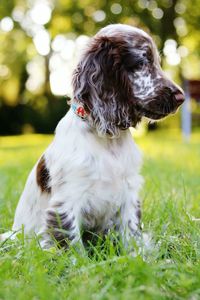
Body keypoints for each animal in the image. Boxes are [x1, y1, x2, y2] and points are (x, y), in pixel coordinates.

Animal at [0, 23, 184, 250]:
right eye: (142, 62)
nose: (181, 97)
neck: (108, 139)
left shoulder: (129, 193)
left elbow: (132, 235)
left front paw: (138, 255)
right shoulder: (67, 201)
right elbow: (72, 246)